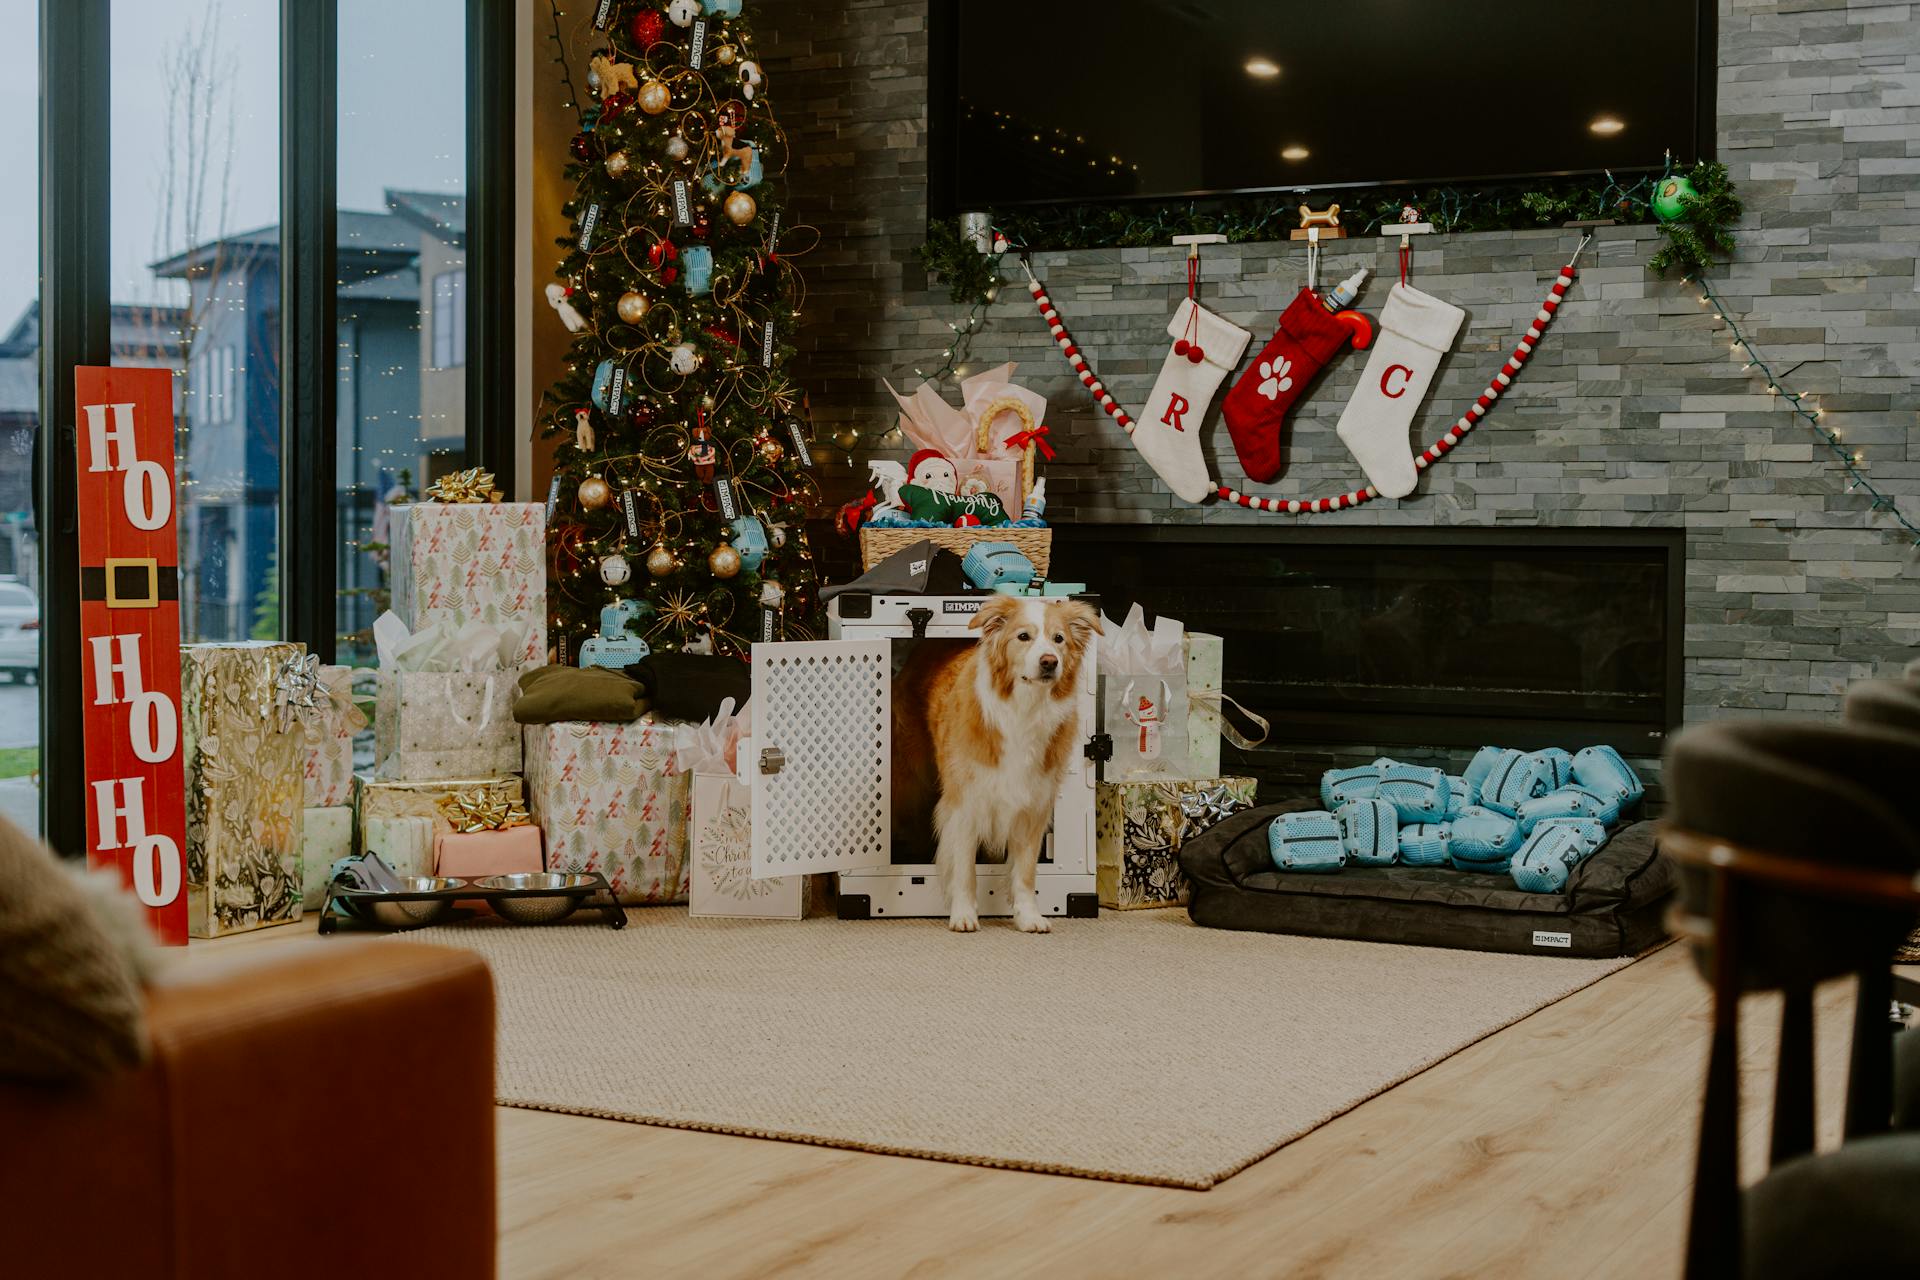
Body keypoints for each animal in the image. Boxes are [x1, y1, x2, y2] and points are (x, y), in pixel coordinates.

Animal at [890, 594, 1105, 936]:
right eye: (1023, 636)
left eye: (1059, 639)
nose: (1049, 661)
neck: (1024, 708)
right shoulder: (965, 804)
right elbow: (964, 868)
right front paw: (964, 914)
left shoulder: (1033, 805)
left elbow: (1025, 871)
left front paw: (1028, 916)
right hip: (911, 779)